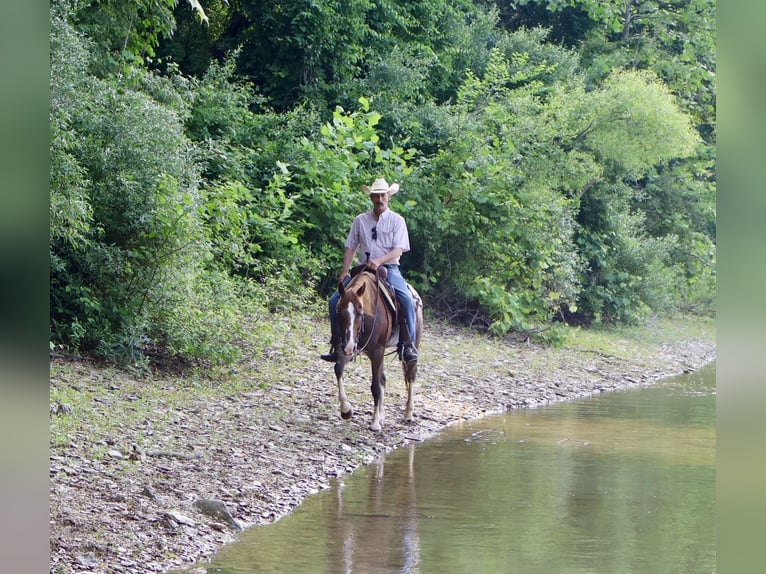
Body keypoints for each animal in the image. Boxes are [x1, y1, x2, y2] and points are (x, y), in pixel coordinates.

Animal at [333, 267, 423, 432]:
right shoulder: (346, 345)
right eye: (339, 312)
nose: (349, 347)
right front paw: (346, 410)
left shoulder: (377, 351)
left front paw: (374, 423)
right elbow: (338, 369)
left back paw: (408, 413)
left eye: (360, 312)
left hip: (413, 344)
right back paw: (383, 416)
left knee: (410, 375)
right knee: (383, 378)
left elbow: (375, 385)